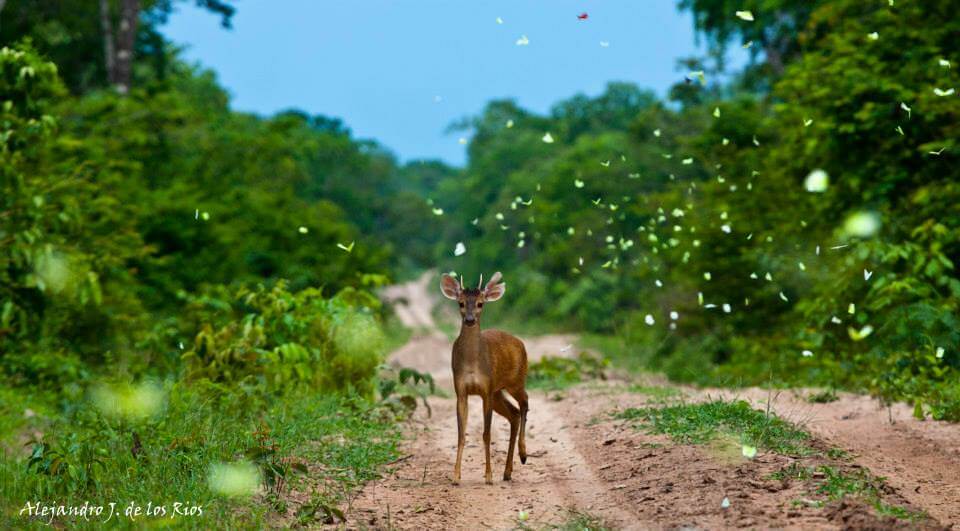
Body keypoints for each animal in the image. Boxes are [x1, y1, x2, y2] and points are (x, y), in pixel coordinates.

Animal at [440, 271, 529, 485]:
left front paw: (488, 476)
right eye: (461, 303)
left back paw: (523, 454)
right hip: (498, 392)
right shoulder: (461, 390)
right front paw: (456, 476)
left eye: (480, 303)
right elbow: (461, 435)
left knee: (525, 403)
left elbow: (487, 434)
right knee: (514, 413)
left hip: (516, 380)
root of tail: (520, 343)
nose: (470, 319)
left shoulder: (486, 390)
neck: (473, 364)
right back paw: (507, 471)